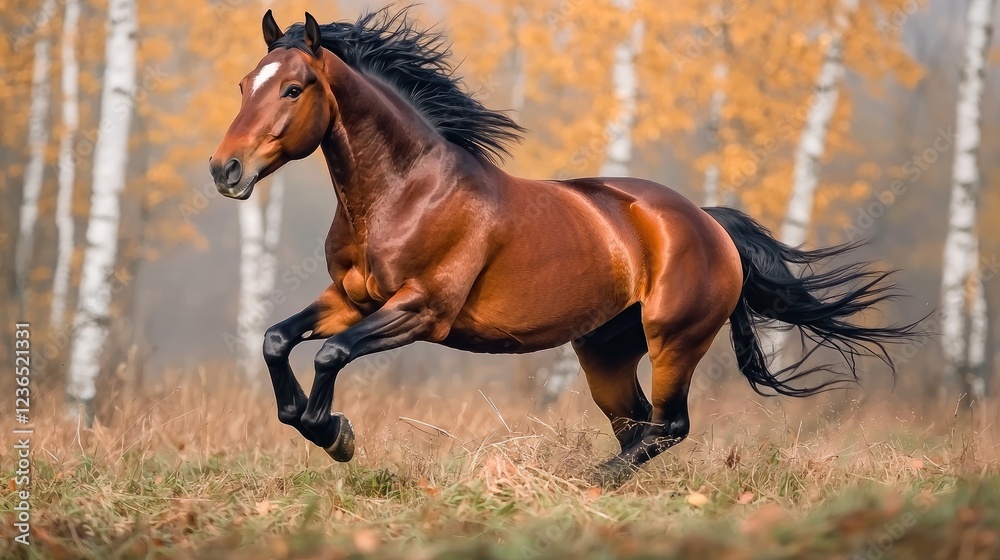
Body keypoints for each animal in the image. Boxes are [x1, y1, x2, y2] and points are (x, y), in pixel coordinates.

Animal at [209, 9, 921, 486]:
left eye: (293, 88)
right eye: (244, 84)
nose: (225, 170)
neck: (405, 193)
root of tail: (709, 223)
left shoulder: (422, 311)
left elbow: (329, 354)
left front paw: (335, 434)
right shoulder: (351, 299)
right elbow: (277, 338)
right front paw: (310, 420)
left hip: (674, 340)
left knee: (668, 426)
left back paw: (590, 483)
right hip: (604, 351)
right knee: (640, 426)